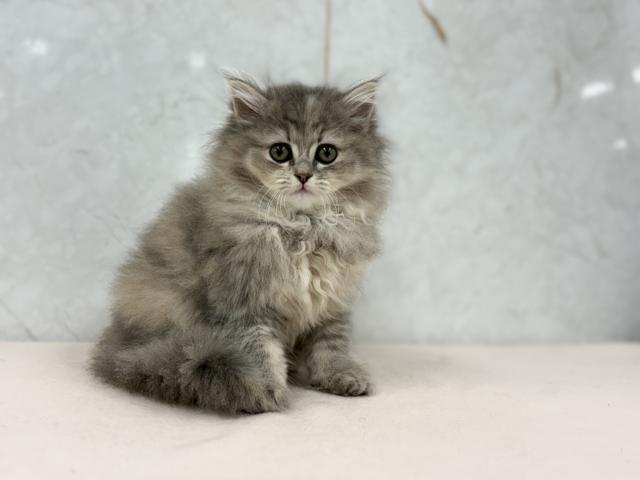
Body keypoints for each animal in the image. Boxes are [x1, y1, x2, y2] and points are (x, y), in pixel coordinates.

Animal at [91, 74, 390, 414]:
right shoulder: (244, 303)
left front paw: (341, 376)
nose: (303, 176)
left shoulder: (332, 303)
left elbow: (331, 346)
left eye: (327, 153)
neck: (302, 228)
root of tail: (119, 342)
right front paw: (264, 389)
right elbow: (260, 351)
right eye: (279, 152)